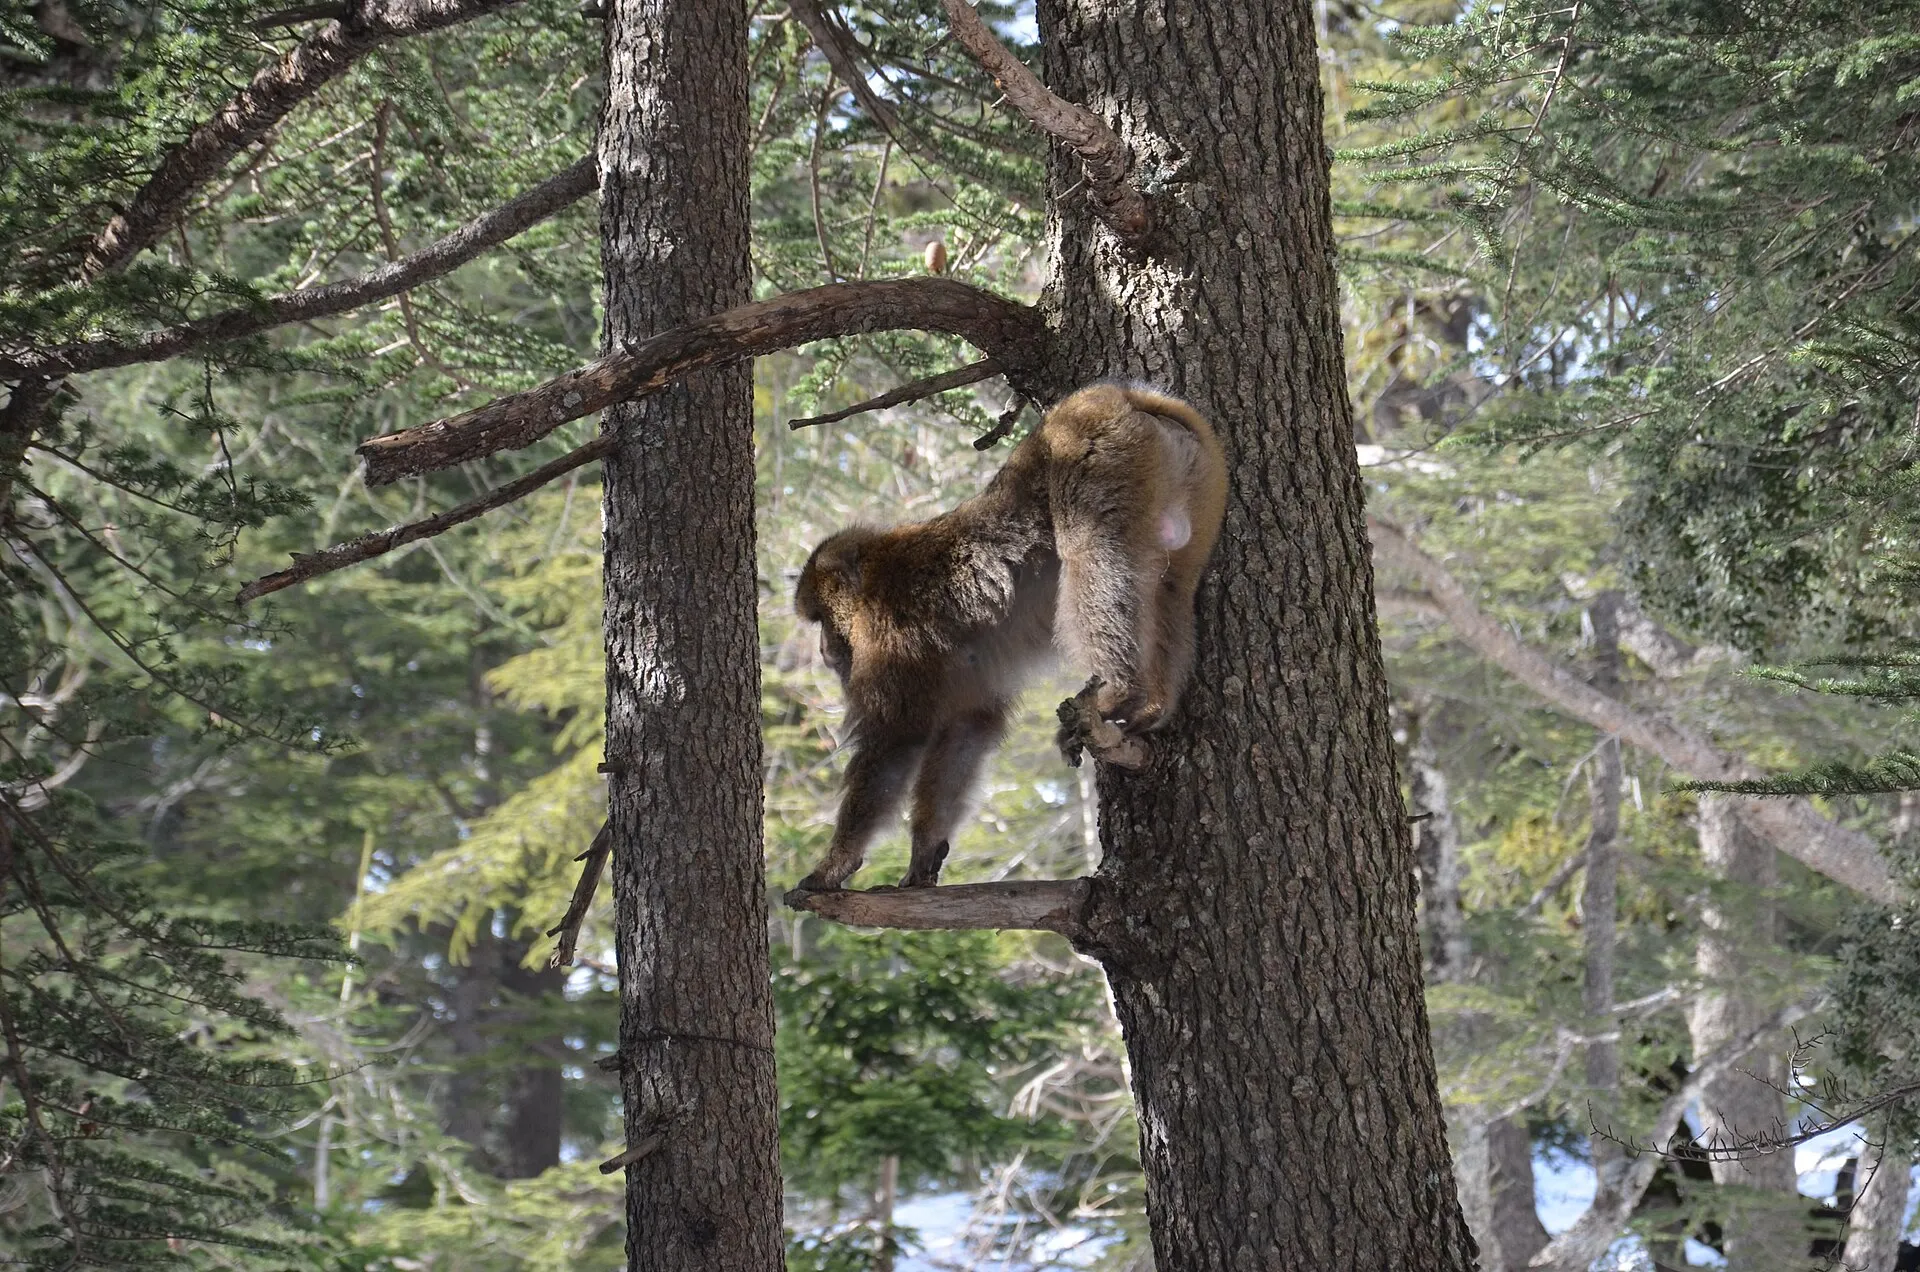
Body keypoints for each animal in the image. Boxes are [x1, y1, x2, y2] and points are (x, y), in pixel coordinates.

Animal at [791, 382, 1227, 893]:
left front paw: (834, 864)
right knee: (1171, 587)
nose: (823, 652)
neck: (873, 582)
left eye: (821, 619)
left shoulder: (888, 645)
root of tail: (1115, 394)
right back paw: (1154, 705)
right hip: (1196, 487)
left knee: (1091, 556)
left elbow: (896, 739)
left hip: (1097, 460)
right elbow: (967, 728)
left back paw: (1119, 691)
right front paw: (924, 853)